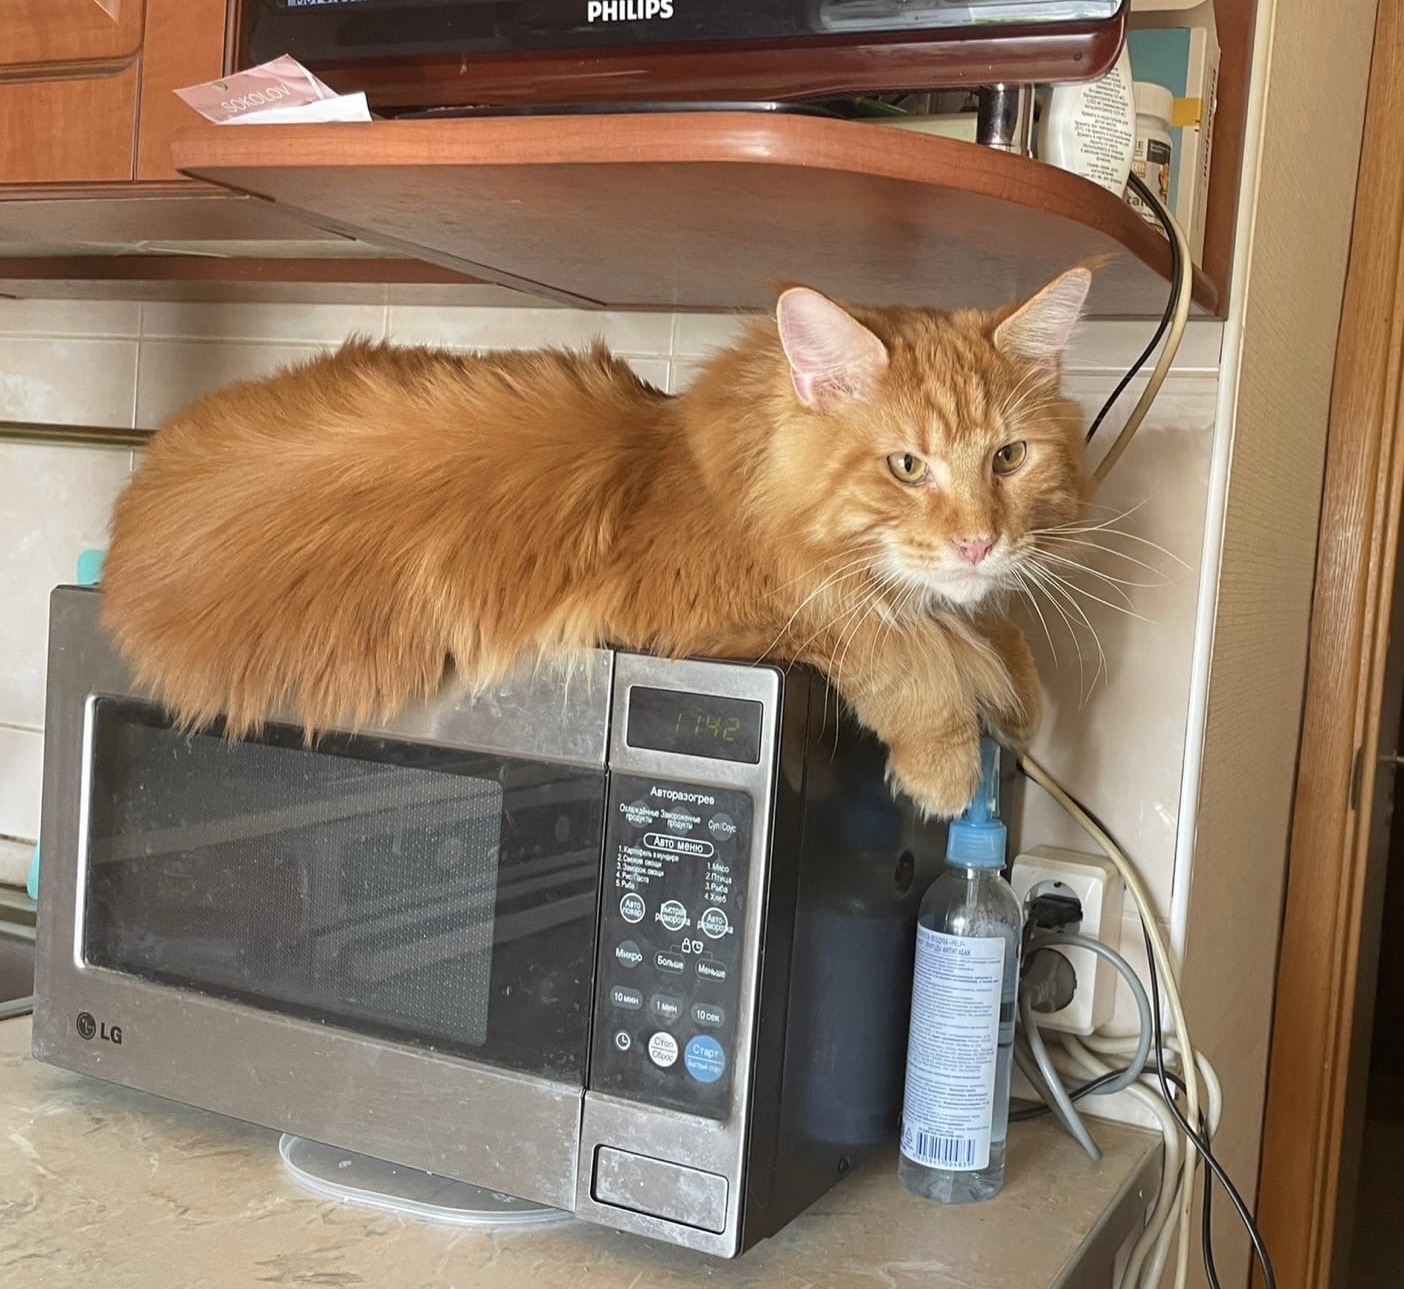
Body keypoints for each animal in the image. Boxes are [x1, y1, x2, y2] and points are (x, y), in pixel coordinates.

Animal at [103, 266, 1089, 820]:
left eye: (1008, 457)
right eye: (907, 466)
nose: (978, 542)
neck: (730, 475)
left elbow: (982, 627)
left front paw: (1021, 692)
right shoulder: (732, 605)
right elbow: (899, 650)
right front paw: (948, 765)